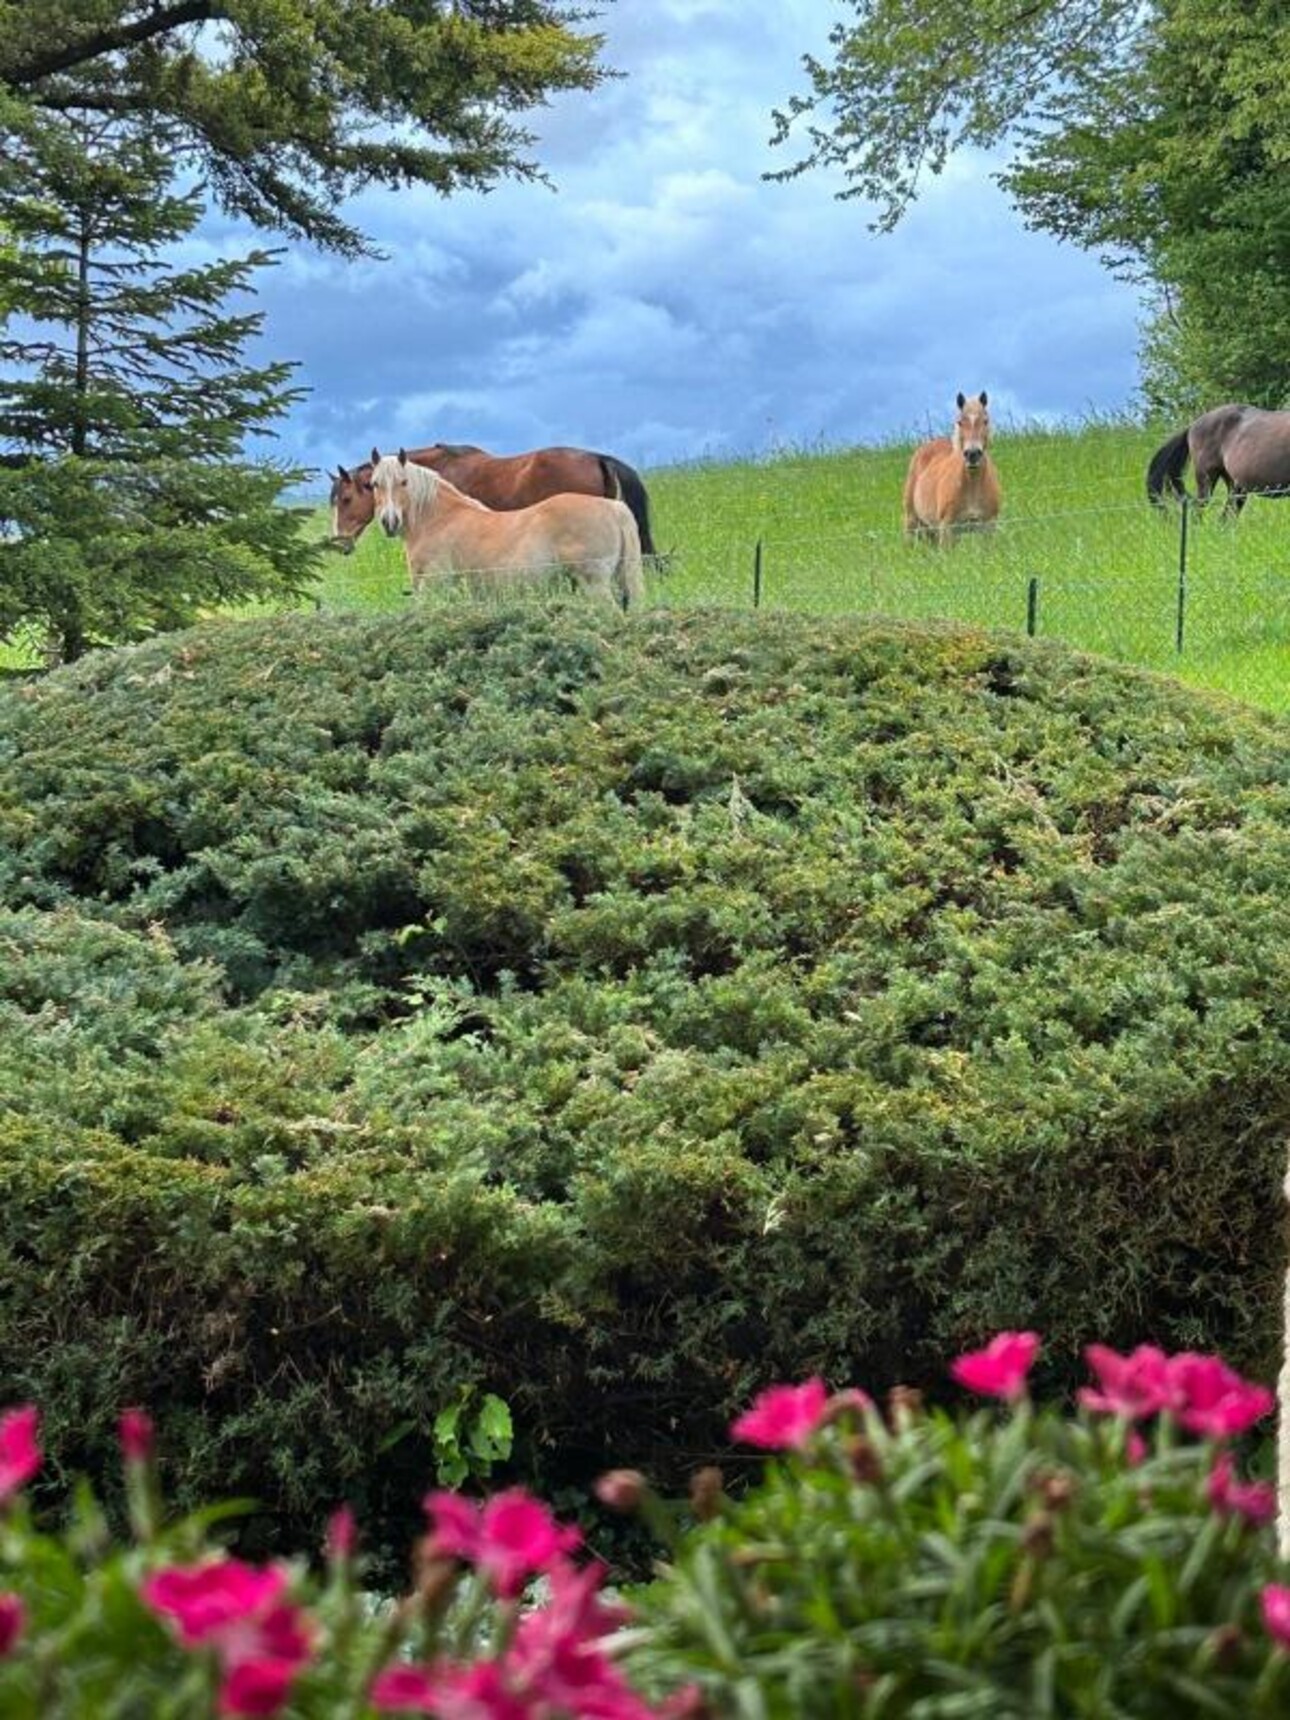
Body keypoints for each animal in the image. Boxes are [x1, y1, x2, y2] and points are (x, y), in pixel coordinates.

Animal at [368, 450, 646, 612]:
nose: (389, 522)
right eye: (374, 484)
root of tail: (613, 507)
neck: (440, 518)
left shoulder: (434, 588)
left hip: (596, 587)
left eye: (404, 482)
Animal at [901, 393, 1004, 546]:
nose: (972, 454)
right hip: (912, 522)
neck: (972, 485)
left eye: (985, 421)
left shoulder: (988, 526)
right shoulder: (947, 528)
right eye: (960, 422)